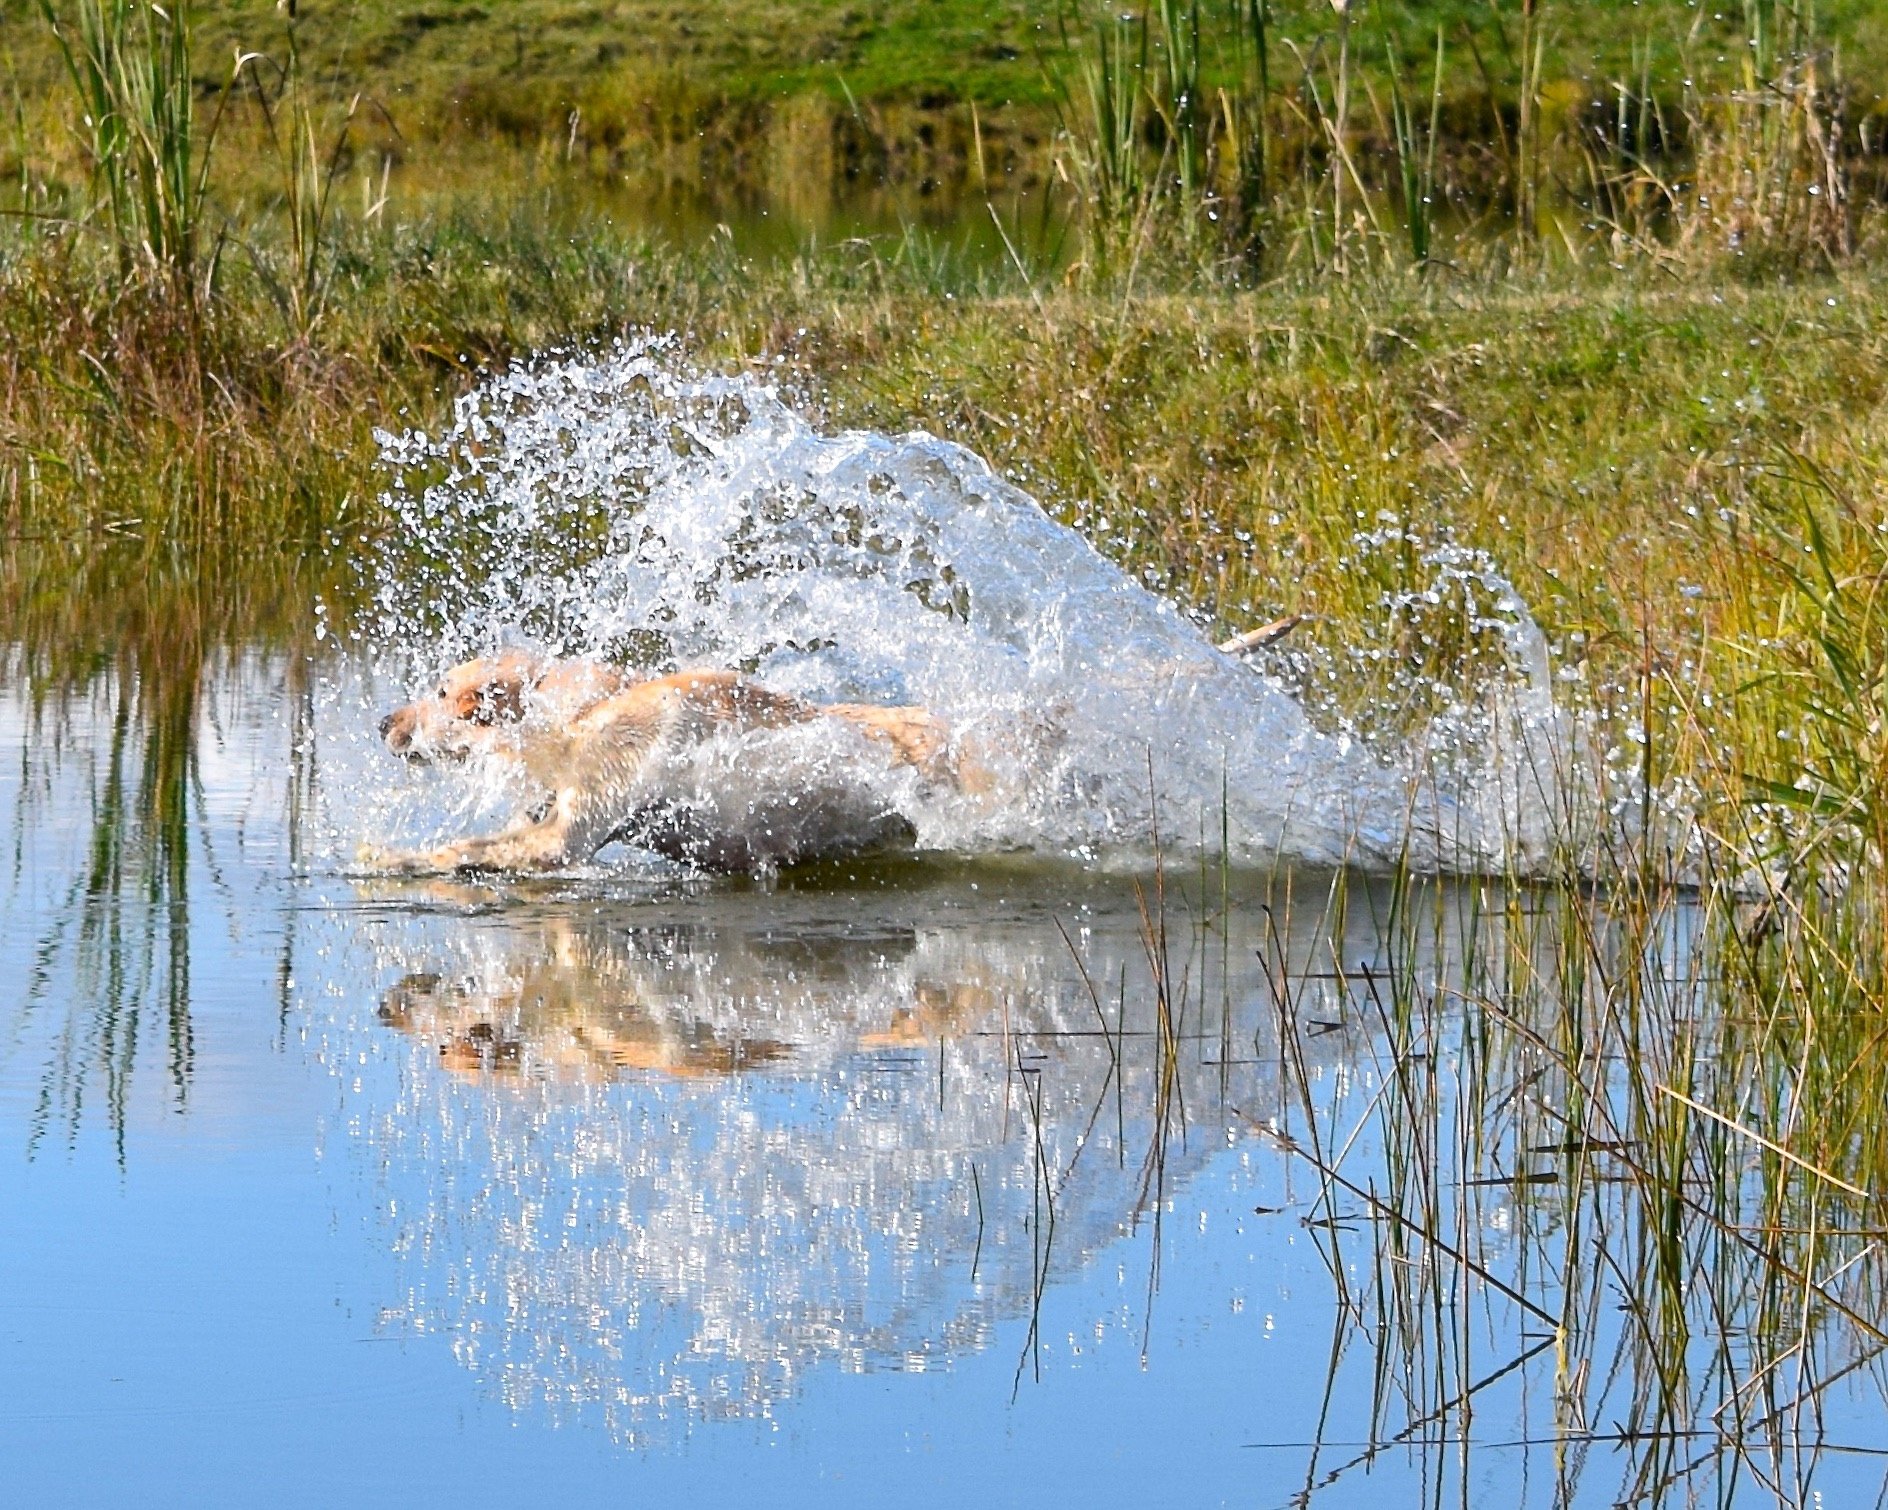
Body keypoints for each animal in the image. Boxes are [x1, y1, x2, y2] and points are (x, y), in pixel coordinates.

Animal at [358, 649, 974, 872]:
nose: (383, 723)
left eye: (441, 691)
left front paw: (392, 859)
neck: (574, 719)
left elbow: (463, 850)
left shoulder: (568, 836)